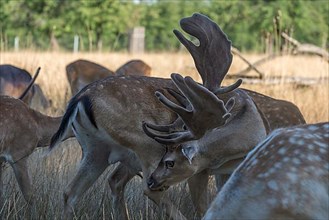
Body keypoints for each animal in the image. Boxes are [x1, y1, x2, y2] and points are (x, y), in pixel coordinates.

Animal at [48, 12, 304, 219]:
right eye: (169, 159)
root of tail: (79, 98)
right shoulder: (198, 170)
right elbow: (203, 206)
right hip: (142, 144)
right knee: (145, 189)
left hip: (95, 150)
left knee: (72, 192)